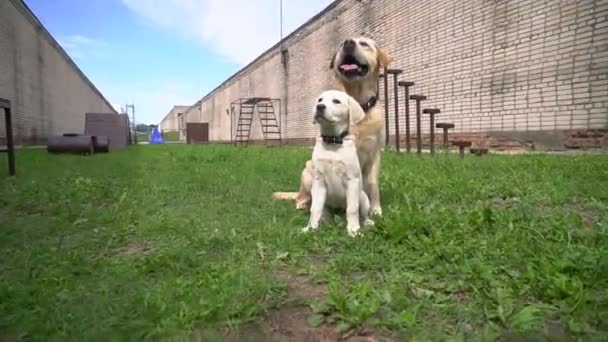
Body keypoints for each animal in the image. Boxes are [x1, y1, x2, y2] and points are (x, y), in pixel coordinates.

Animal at [274, 36, 392, 215]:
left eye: (364, 44)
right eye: (341, 44)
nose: (348, 42)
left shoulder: (374, 154)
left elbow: (372, 184)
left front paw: (375, 209)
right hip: (307, 171)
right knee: (303, 196)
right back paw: (304, 204)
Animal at [302, 89, 372, 236]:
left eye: (336, 101)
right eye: (320, 100)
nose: (319, 107)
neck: (332, 142)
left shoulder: (352, 180)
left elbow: (352, 209)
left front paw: (353, 230)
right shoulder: (318, 181)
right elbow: (314, 209)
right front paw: (310, 228)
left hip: (363, 197)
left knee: (363, 214)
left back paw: (367, 223)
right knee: (324, 214)